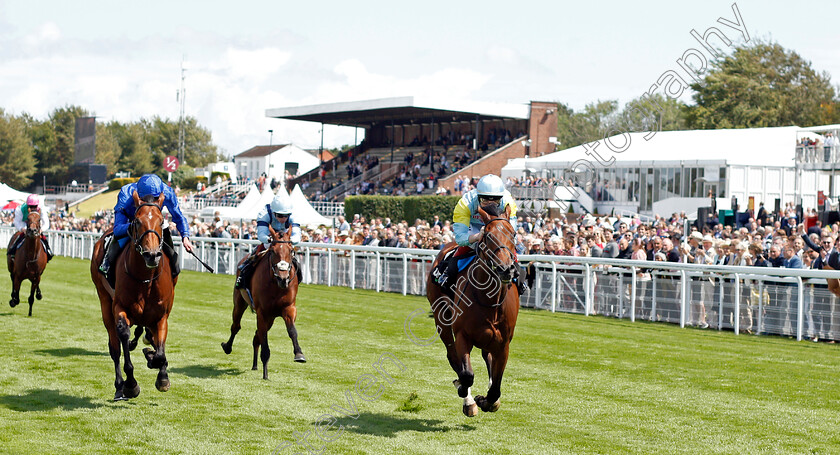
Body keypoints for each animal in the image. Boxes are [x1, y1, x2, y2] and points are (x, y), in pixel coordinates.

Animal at [91, 192, 175, 402]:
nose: (152, 255)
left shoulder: (161, 315)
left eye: (162, 221)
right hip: (104, 300)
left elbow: (160, 351)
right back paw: (119, 387)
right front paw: (131, 384)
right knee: (115, 348)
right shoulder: (120, 307)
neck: (145, 279)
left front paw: (161, 373)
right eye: (137, 221)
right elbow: (123, 335)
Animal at [220, 226, 306, 380]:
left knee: (256, 336)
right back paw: (228, 347)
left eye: (291, 250)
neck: (276, 285)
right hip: (240, 302)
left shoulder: (289, 308)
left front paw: (299, 354)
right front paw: (265, 373)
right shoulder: (262, 312)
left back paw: (255, 365)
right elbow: (264, 339)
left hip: (271, 318)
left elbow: (292, 331)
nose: (283, 278)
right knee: (236, 326)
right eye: (272, 251)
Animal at [426, 205, 520, 418]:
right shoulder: (462, 335)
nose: (505, 269)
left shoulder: (503, 343)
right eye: (487, 235)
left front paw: (486, 400)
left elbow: (495, 388)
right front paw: (466, 394)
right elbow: (467, 374)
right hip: (441, 319)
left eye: (513, 234)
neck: (489, 300)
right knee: (453, 357)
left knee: (487, 358)